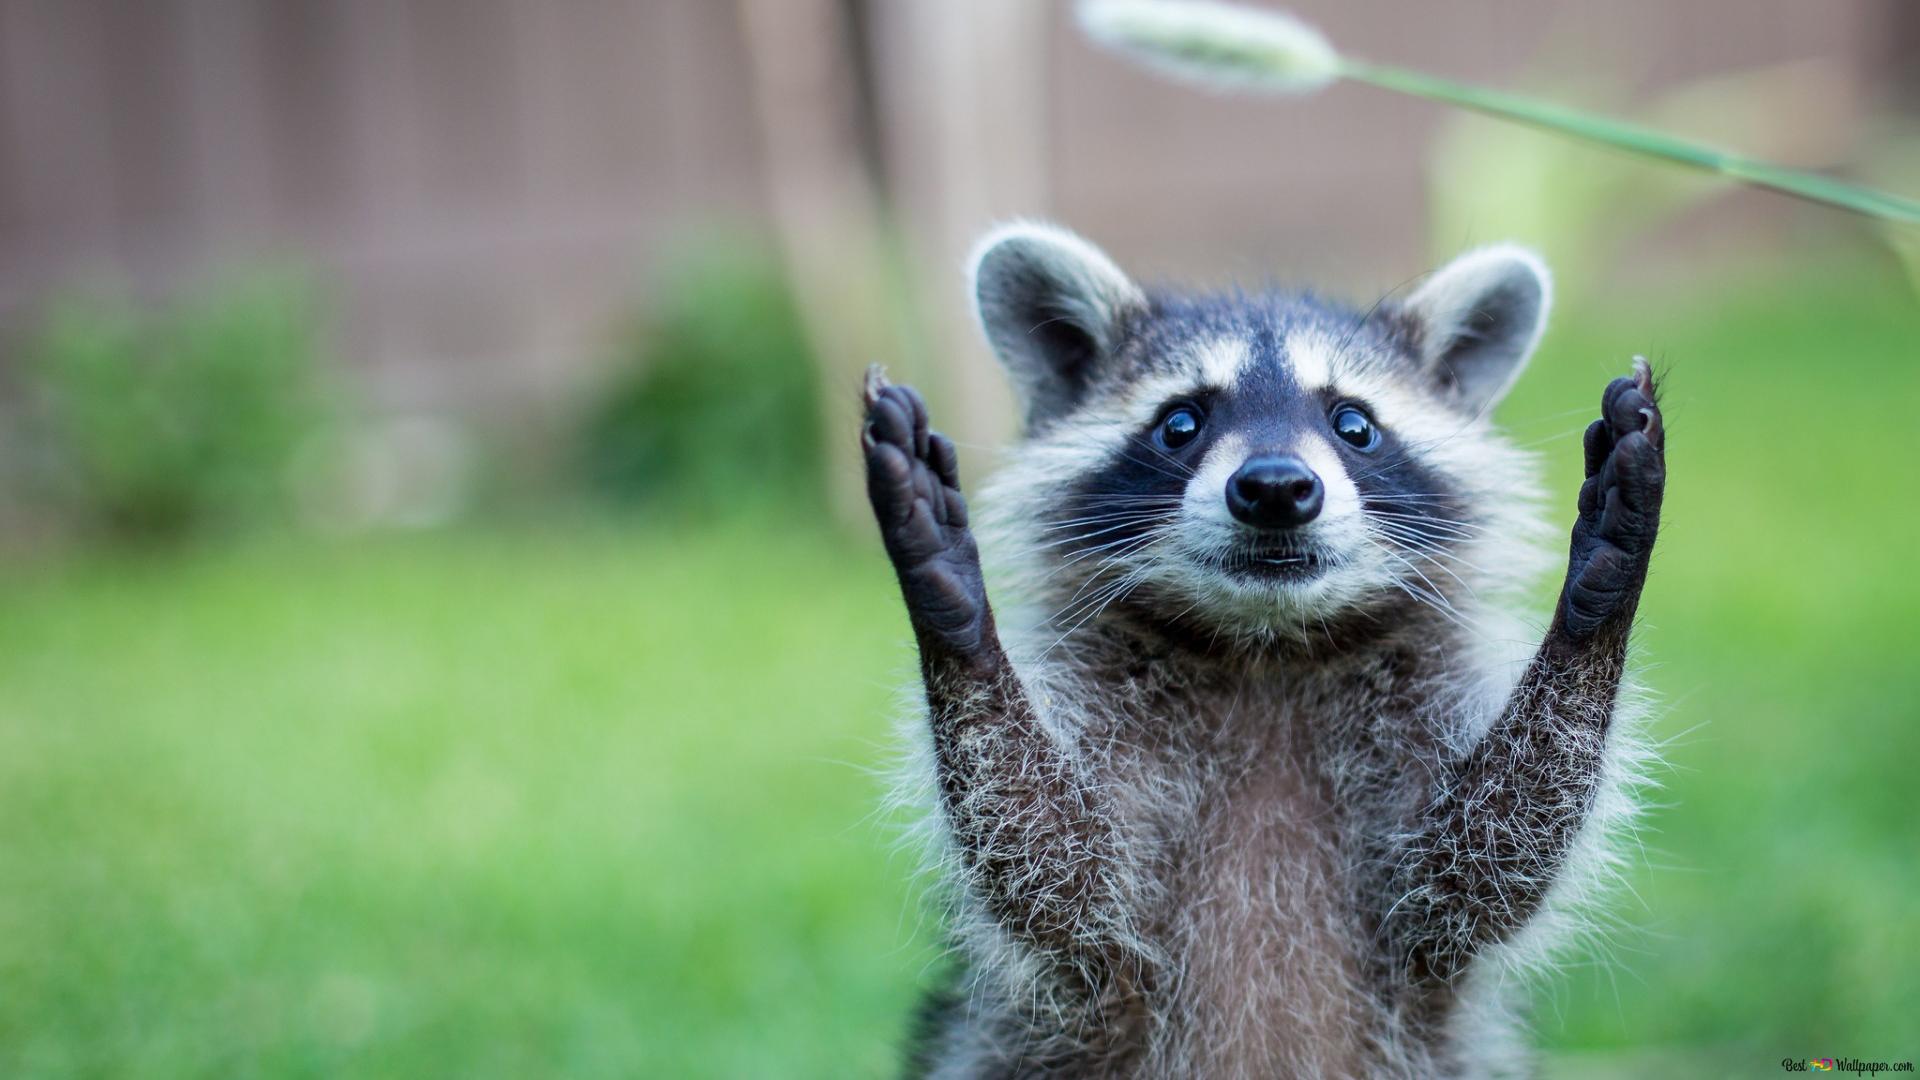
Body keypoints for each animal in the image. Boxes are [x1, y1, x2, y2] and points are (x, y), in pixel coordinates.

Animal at [861, 223, 1665, 1079]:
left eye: (1354, 424)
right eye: (1180, 423)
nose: (1276, 487)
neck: (1267, 648)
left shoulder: (1423, 722)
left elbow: (1485, 855)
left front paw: (1595, 601)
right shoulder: (1100, 932)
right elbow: (1053, 861)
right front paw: (956, 614)